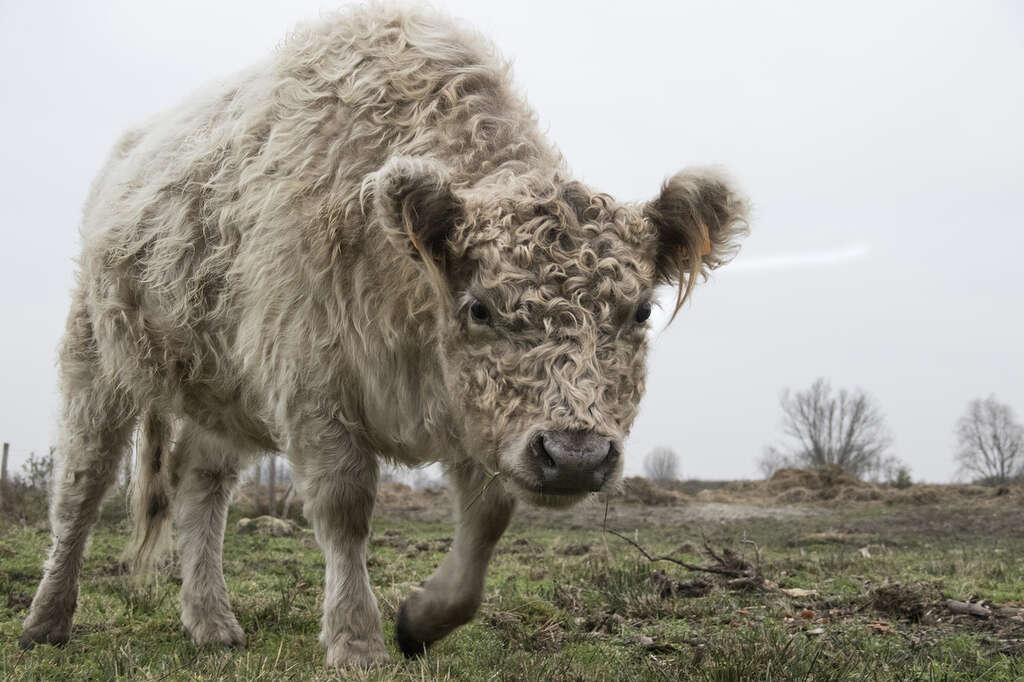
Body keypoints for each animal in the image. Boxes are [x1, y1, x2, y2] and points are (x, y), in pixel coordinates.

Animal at [20, 3, 749, 666]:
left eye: (640, 312)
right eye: (479, 309)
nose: (574, 454)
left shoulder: (479, 419)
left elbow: (486, 523)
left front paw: (421, 621)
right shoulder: (313, 386)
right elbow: (346, 511)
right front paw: (356, 641)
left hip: (222, 389)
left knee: (200, 486)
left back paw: (212, 622)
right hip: (96, 357)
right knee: (80, 487)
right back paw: (47, 619)